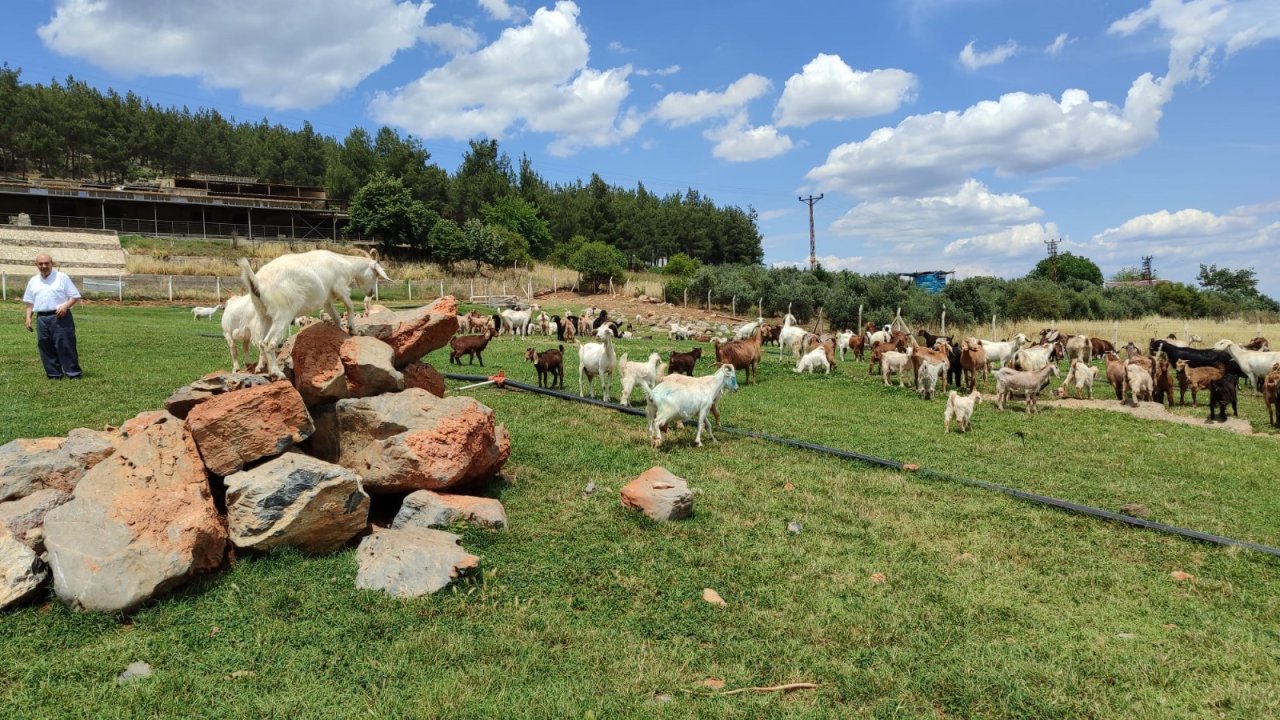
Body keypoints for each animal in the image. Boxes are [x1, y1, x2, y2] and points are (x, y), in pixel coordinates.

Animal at [238, 249, 389, 379]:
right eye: (375, 273)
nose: (371, 293)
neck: (344, 263)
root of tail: (256, 282)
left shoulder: (327, 299)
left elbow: (336, 316)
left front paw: (339, 330)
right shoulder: (340, 287)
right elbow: (350, 306)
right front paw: (353, 330)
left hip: (264, 315)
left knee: (261, 342)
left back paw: (265, 370)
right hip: (283, 314)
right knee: (268, 343)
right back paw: (278, 373)